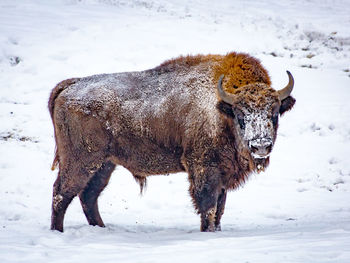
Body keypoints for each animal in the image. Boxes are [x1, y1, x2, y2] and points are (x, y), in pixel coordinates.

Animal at [48, 52, 296, 233]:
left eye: (274, 113)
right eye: (241, 115)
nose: (260, 146)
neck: (221, 109)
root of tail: (71, 85)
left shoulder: (223, 176)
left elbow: (219, 208)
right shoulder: (204, 169)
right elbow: (208, 206)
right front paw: (208, 232)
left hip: (105, 164)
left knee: (88, 195)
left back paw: (101, 228)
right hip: (81, 161)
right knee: (62, 193)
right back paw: (58, 231)